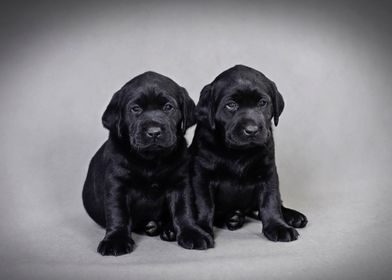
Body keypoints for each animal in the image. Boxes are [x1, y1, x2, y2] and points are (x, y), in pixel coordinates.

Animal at [81, 71, 213, 255]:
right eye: (136, 109)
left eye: (168, 107)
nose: (154, 132)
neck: (151, 160)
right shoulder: (117, 183)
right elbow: (118, 212)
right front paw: (116, 239)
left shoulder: (180, 182)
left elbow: (184, 210)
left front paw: (192, 233)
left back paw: (168, 229)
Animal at [191, 65, 308, 241]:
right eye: (231, 105)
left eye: (262, 103)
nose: (252, 130)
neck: (238, 152)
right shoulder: (202, 175)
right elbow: (204, 205)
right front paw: (202, 229)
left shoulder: (268, 172)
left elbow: (271, 201)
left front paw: (278, 226)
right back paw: (231, 218)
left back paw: (293, 216)